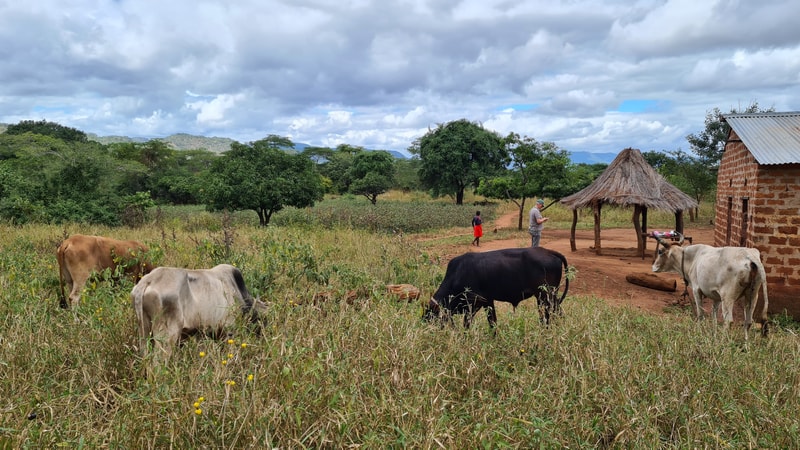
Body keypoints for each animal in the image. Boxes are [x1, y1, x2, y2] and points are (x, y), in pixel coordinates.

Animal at [423, 247, 570, 329]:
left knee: (549, 315)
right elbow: (491, 321)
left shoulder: (476, 302)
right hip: (547, 297)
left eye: (431, 315)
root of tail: (548, 251)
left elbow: (471, 323)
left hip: (545, 296)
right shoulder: (488, 301)